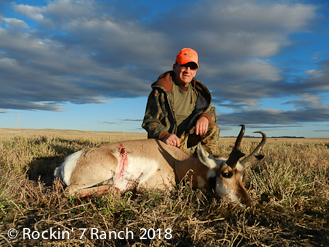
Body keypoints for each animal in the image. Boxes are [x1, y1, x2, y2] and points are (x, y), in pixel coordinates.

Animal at [53, 124, 264, 206]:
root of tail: (65, 164)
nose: (248, 203)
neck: (177, 162)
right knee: (71, 191)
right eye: (226, 173)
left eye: (242, 175)